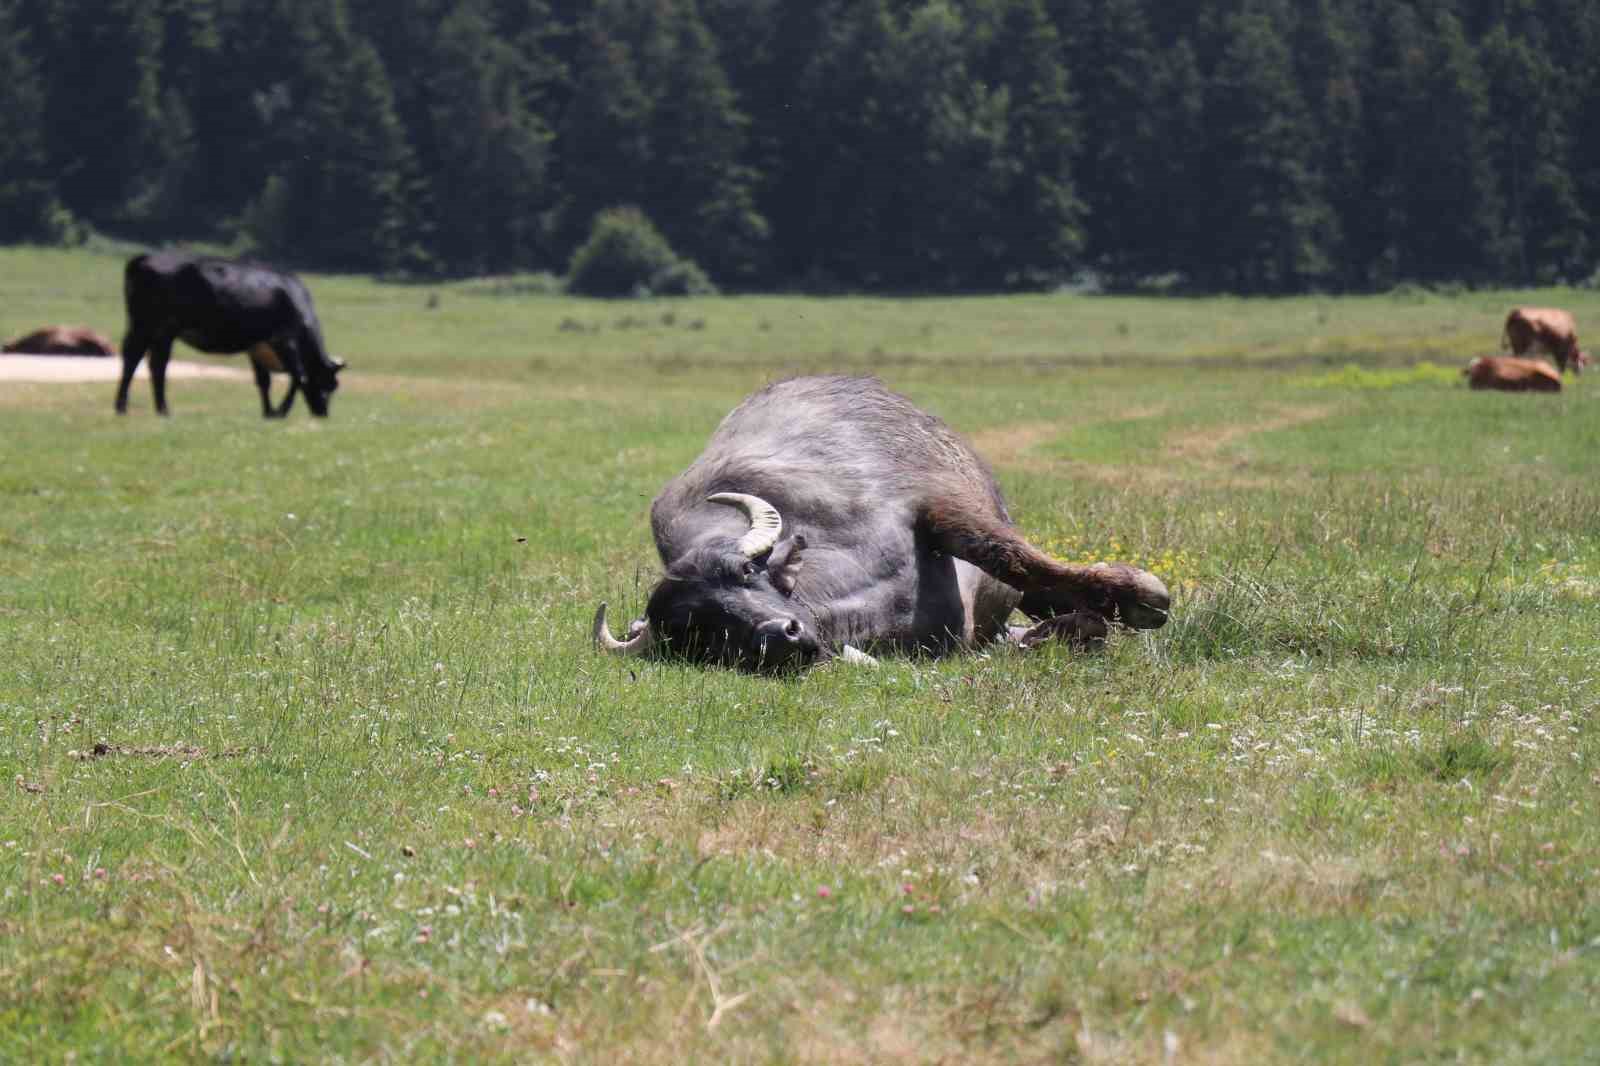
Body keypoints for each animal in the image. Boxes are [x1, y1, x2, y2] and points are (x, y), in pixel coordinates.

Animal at [116, 249, 347, 416]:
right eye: (329, 384)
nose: (323, 413)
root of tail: (145, 257)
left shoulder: (257, 346)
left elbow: (264, 381)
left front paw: (268, 412)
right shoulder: (284, 340)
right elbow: (299, 377)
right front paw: (281, 411)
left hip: (161, 331)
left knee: (155, 364)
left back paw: (158, 409)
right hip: (147, 324)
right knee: (135, 358)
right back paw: (127, 407)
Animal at [595, 376, 1171, 672]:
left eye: (744, 572)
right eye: (697, 630)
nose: (780, 635)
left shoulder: (937, 500)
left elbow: (1007, 553)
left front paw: (1142, 596)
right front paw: (1068, 630)